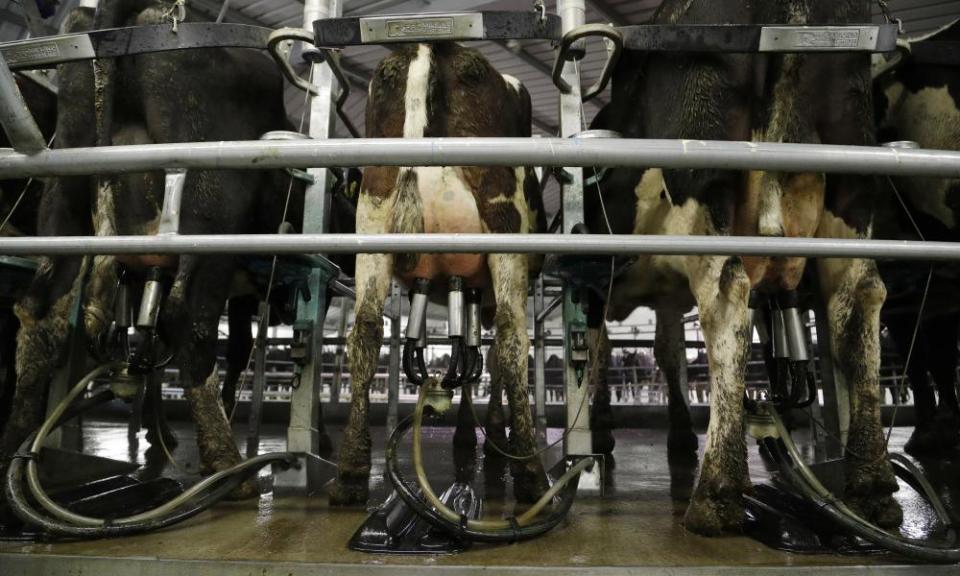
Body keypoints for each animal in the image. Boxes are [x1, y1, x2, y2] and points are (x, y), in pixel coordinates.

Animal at [0, 0, 308, 498]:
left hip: (64, 196)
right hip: (211, 211)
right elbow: (236, 345)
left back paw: (12, 453)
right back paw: (228, 464)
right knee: (191, 323)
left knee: (41, 316)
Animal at [326, 42, 548, 506]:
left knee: (367, 326)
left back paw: (351, 470)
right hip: (504, 223)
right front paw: (489, 436)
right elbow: (486, 360)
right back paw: (531, 472)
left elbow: (467, 357)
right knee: (511, 336)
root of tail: (428, 47)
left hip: (373, 216)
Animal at [580, 0, 904, 536]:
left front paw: (601, 432)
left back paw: (717, 491)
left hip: (701, 182)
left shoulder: (594, 280)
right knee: (861, 298)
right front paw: (676, 436)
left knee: (727, 294)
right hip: (851, 186)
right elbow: (667, 352)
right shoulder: (665, 294)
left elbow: (601, 350)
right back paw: (872, 483)